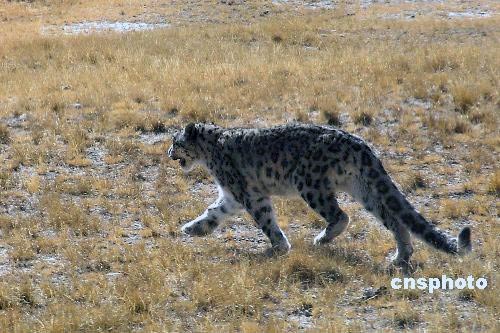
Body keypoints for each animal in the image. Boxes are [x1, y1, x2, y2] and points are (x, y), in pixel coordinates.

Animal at [168, 123, 472, 268]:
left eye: (175, 142)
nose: (169, 153)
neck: (209, 153)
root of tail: (359, 143)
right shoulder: (232, 196)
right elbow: (214, 211)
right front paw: (193, 229)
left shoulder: (248, 194)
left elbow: (266, 221)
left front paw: (280, 246)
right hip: (363, 189)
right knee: (394, 219)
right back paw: (401, 256)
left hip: (309, 184)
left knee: (341, 215)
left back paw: (322, 238)